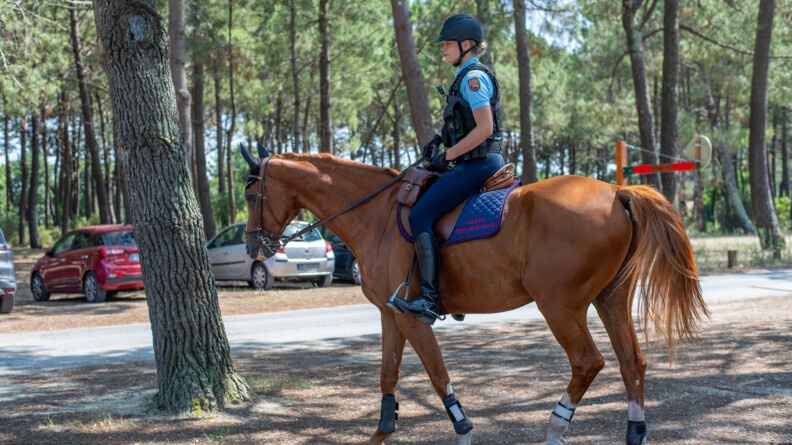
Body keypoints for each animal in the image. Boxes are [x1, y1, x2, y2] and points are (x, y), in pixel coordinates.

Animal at [240, 145, 708, 445]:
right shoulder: (390, 316)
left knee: (587, 362)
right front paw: (382, 432)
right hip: (610, 299)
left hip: (560, 305)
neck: (375, 215)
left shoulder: (410, 316)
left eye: (248, 193)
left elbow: (437, 374)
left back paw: (556, 428)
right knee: (633, 362)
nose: (251, 248)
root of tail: (616, 192)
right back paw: (634, 432)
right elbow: (389, 373)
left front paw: (463, 429)